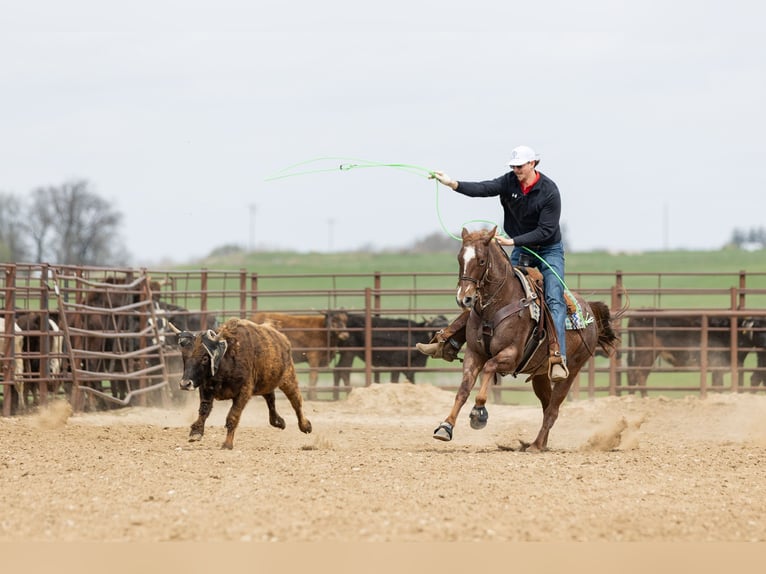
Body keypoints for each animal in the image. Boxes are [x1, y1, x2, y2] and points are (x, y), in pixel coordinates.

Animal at [434, 227, 618, 452]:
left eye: (481, 260)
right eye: (460, 258)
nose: (464, 298)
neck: (498, 305)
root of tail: (589, 310)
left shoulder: (511, 355)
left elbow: (489, 367)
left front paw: (479, 413)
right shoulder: (473, 354)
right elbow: (463, 390)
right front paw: (446, 427)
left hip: (571, 371)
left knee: (553, 410)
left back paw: (536, 446)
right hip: (540, 375)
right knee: (547, 406)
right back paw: (540, 444)